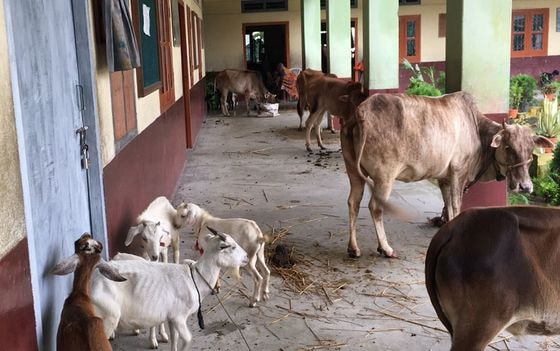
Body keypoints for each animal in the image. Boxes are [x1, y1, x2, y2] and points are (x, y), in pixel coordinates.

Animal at [92, 230, 247, 350]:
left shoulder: (172, 318)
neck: (194, 279)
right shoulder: (179, 317)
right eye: (232, 247)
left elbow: (175, 339)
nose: (246, 256)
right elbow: (188, 339)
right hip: (107, 317)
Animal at [346, 93, 552, 258]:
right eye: (508, 147)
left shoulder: (444, 180)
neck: (477, 131)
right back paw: (386, 248)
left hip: (354, 172)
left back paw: (353, 248)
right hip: (385, 176)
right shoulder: (459, 173)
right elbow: (456, 206)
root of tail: (362, 111)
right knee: (375, 207)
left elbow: (448, 207)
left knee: (353, 202)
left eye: (531, 150)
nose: (525, 186)